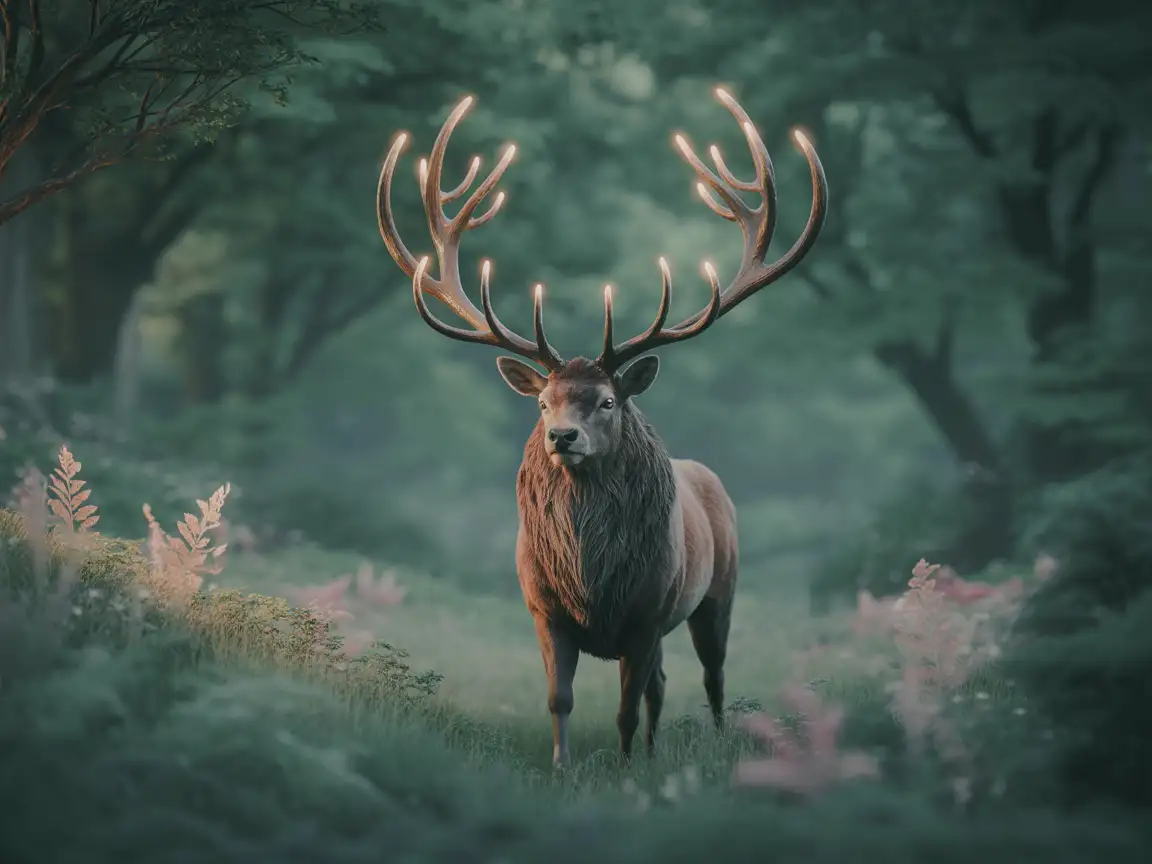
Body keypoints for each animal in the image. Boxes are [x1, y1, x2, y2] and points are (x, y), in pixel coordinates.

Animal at [375, 88, 827, 767]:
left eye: (608, 401)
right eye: (543, 404)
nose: (563, 438)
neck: (592, 584)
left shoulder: (646, 614)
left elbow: (624, 708)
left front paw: (622, 769)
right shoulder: (543, 609)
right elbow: (561, 699)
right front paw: (564, 767)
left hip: (718, 590)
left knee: (712, 677)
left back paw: (710, 741)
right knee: (664, 684)